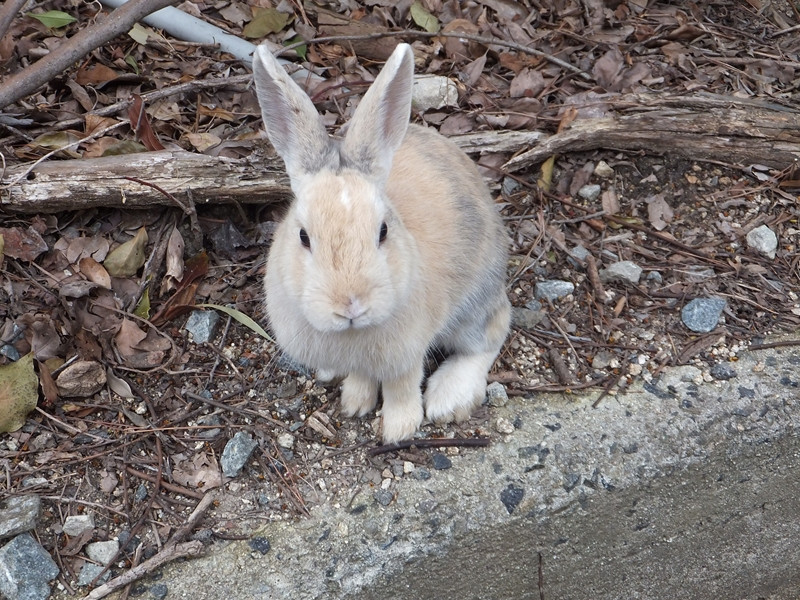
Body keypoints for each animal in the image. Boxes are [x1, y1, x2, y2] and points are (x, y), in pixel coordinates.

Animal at [252, 42, 511, 443]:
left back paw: (448, 399)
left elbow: (402, 386)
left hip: (473, 303)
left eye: (384, 231)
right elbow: (363, 376)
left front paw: (399, 429)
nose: (351, 305)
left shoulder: (407, 353)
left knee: (493, 333)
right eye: (303, 236)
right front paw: (355, 402)